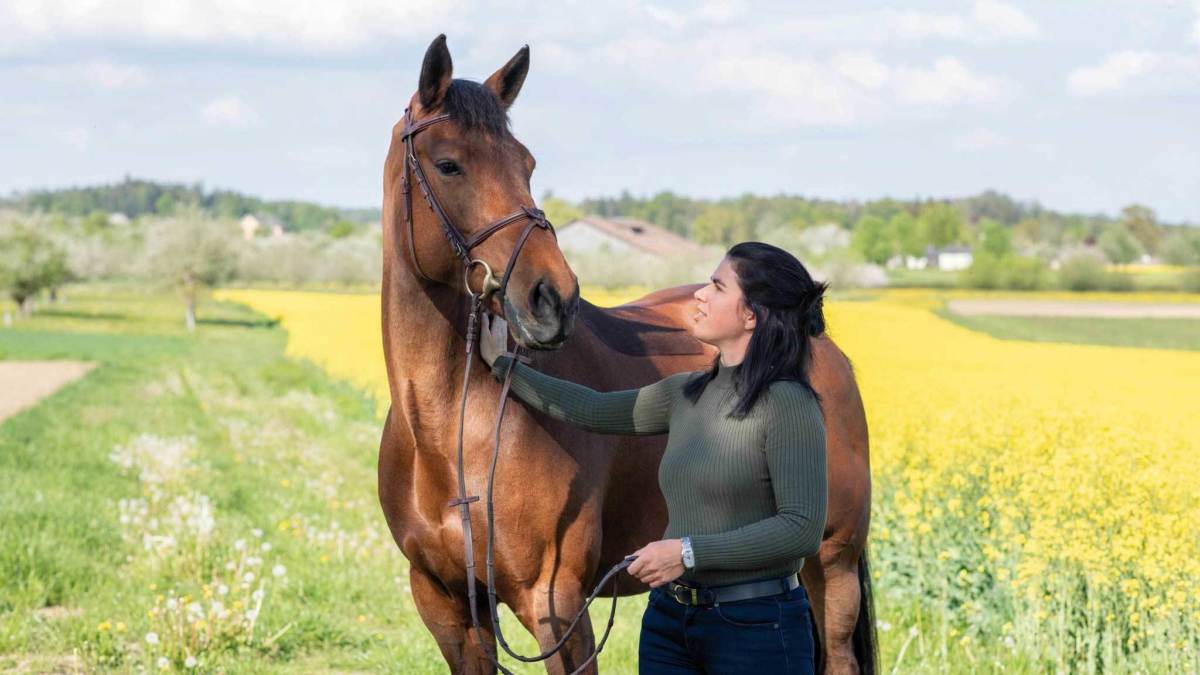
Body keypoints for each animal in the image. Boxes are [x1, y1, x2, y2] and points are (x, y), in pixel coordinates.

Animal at [374, 34, 873, 667]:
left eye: (526, 164)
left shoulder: (556, 604)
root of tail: (819, 343)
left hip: (832, 566)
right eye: (448, 164)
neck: (455, 432)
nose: (553, 298)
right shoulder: (447, 607)